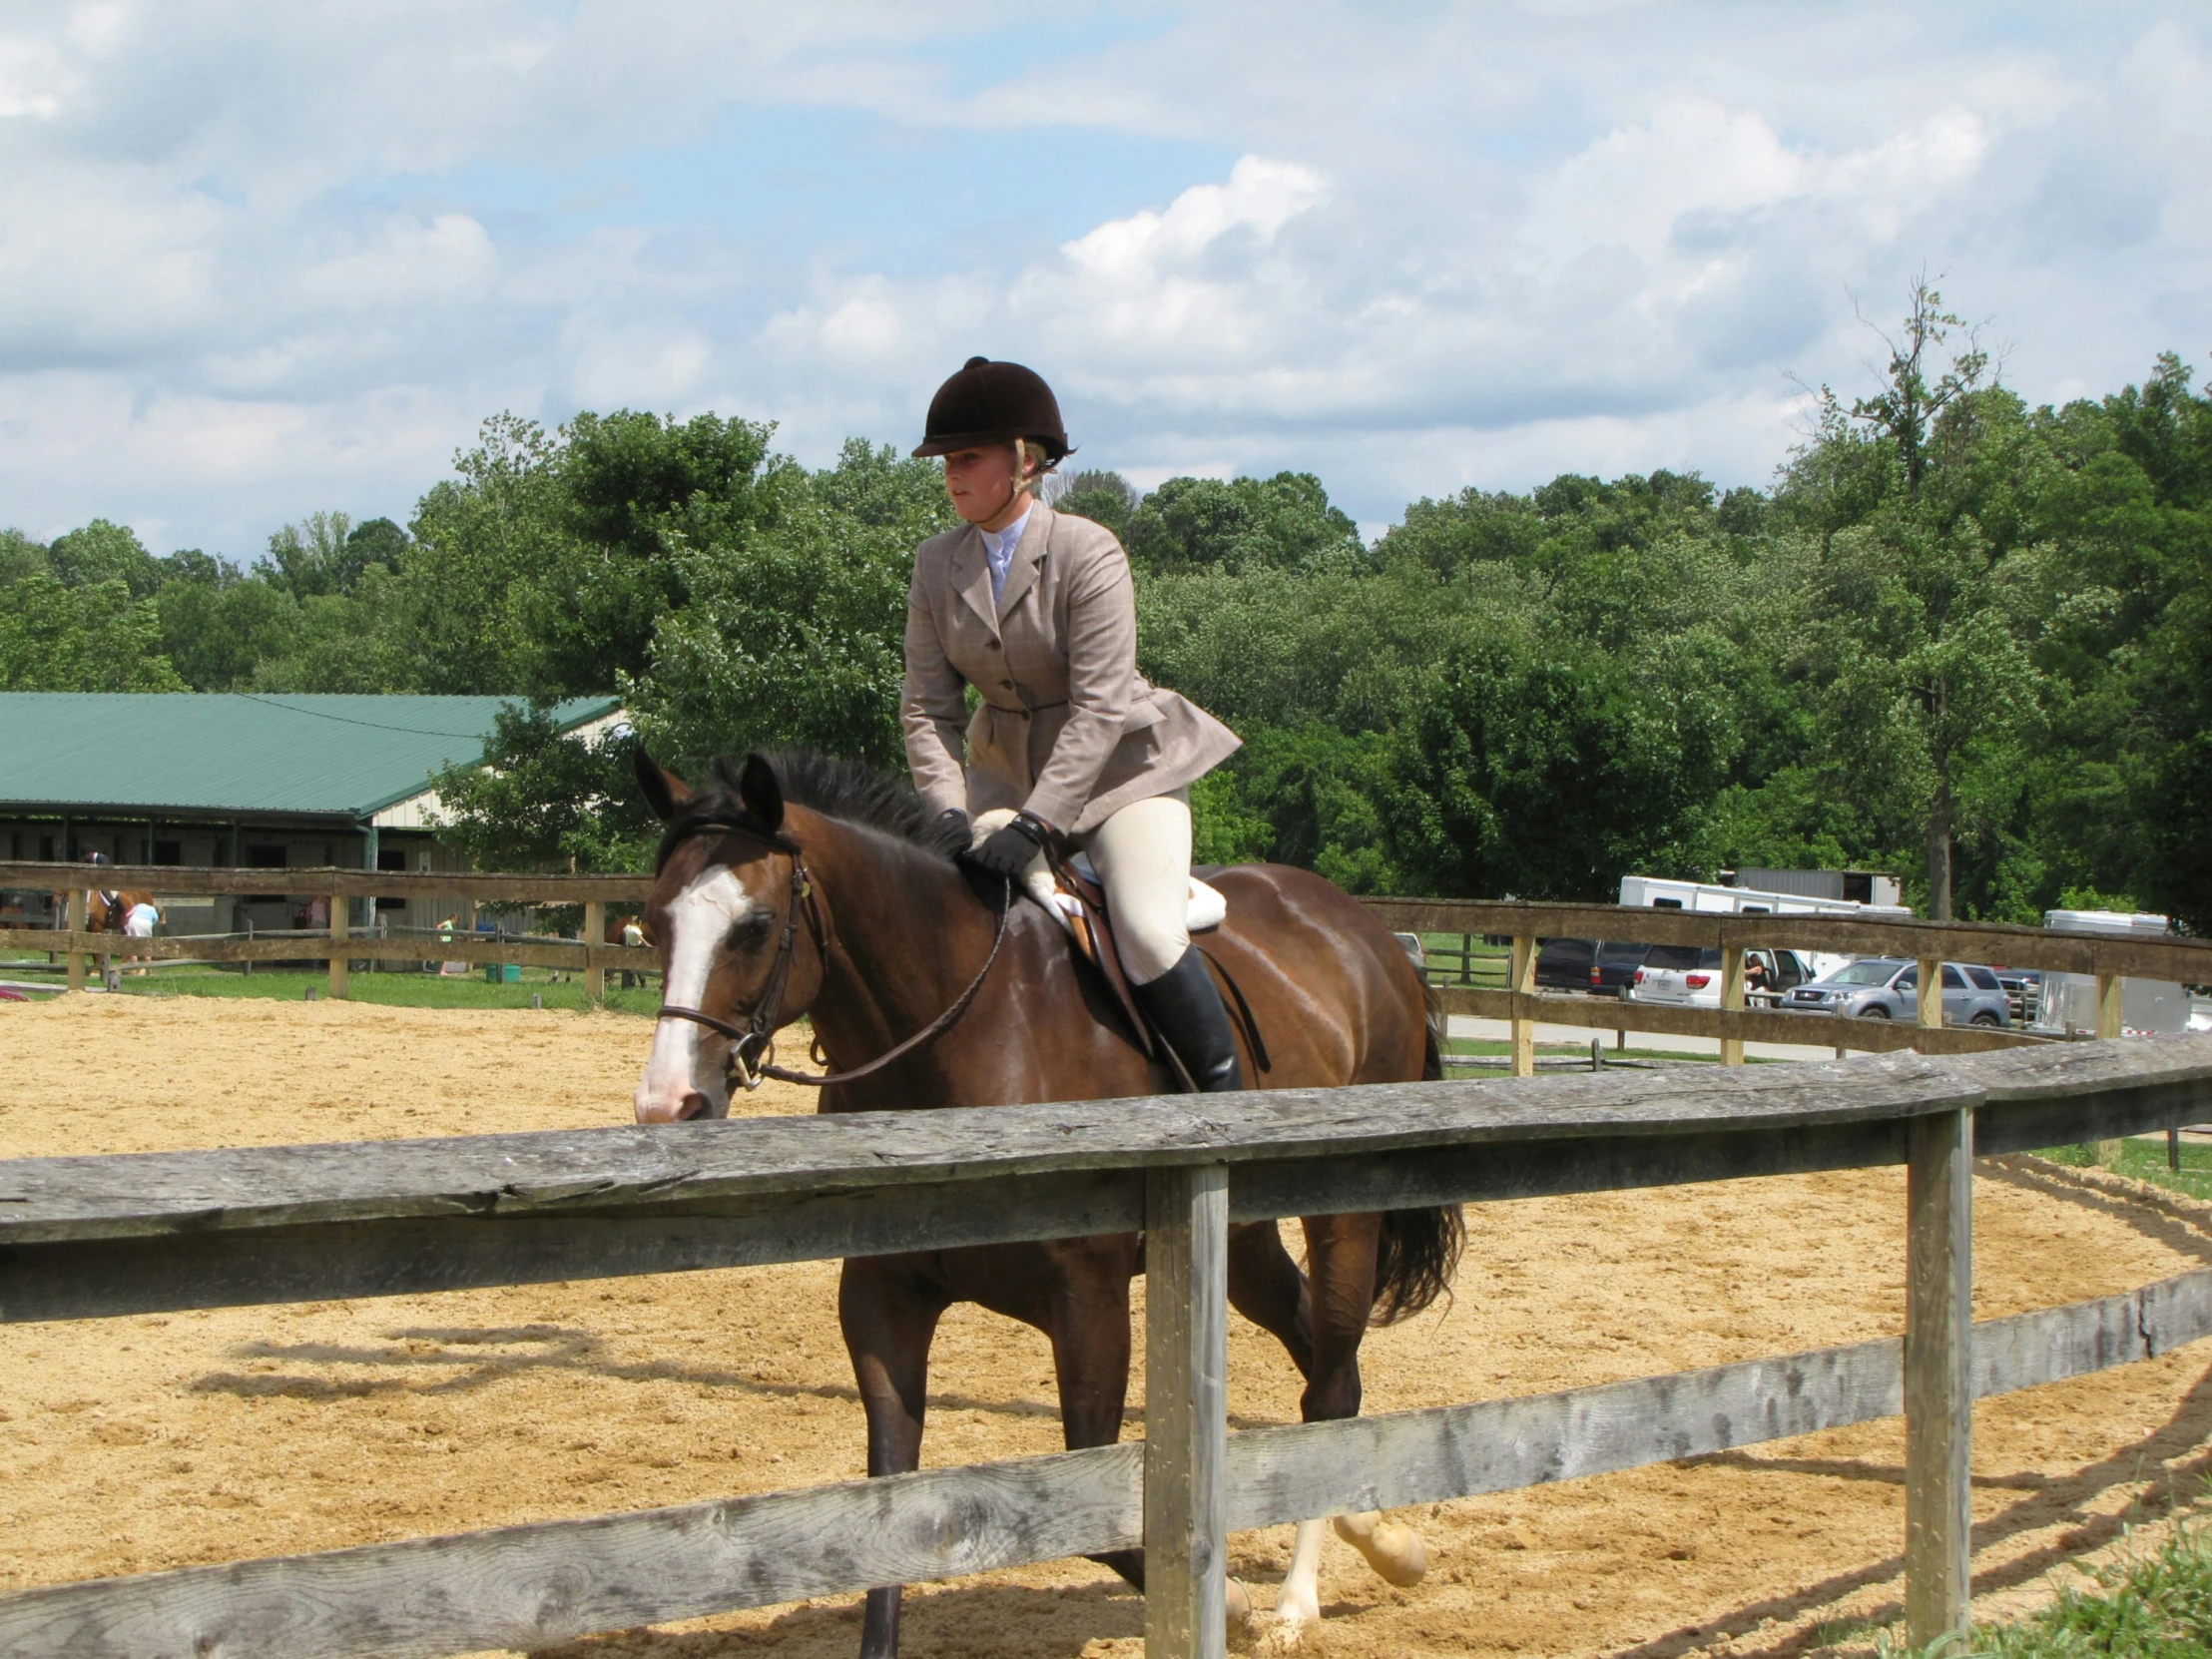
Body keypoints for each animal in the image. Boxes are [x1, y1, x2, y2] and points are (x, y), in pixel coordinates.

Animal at [632, 756, 1459, 1659]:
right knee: (1320, 1360)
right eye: (652, 924)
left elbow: (1101, 1504)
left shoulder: (1087, 1298)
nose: (668, 1105)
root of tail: (1368, 933)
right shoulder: (884, 1297)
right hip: (1240, 1241)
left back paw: (1308, 1596)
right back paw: (1368, 1545)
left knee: (1331, 1383)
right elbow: (888, 1495)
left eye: (753, 926)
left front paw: (1230, 1602)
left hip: (1344, 1211)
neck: (963, 1034)